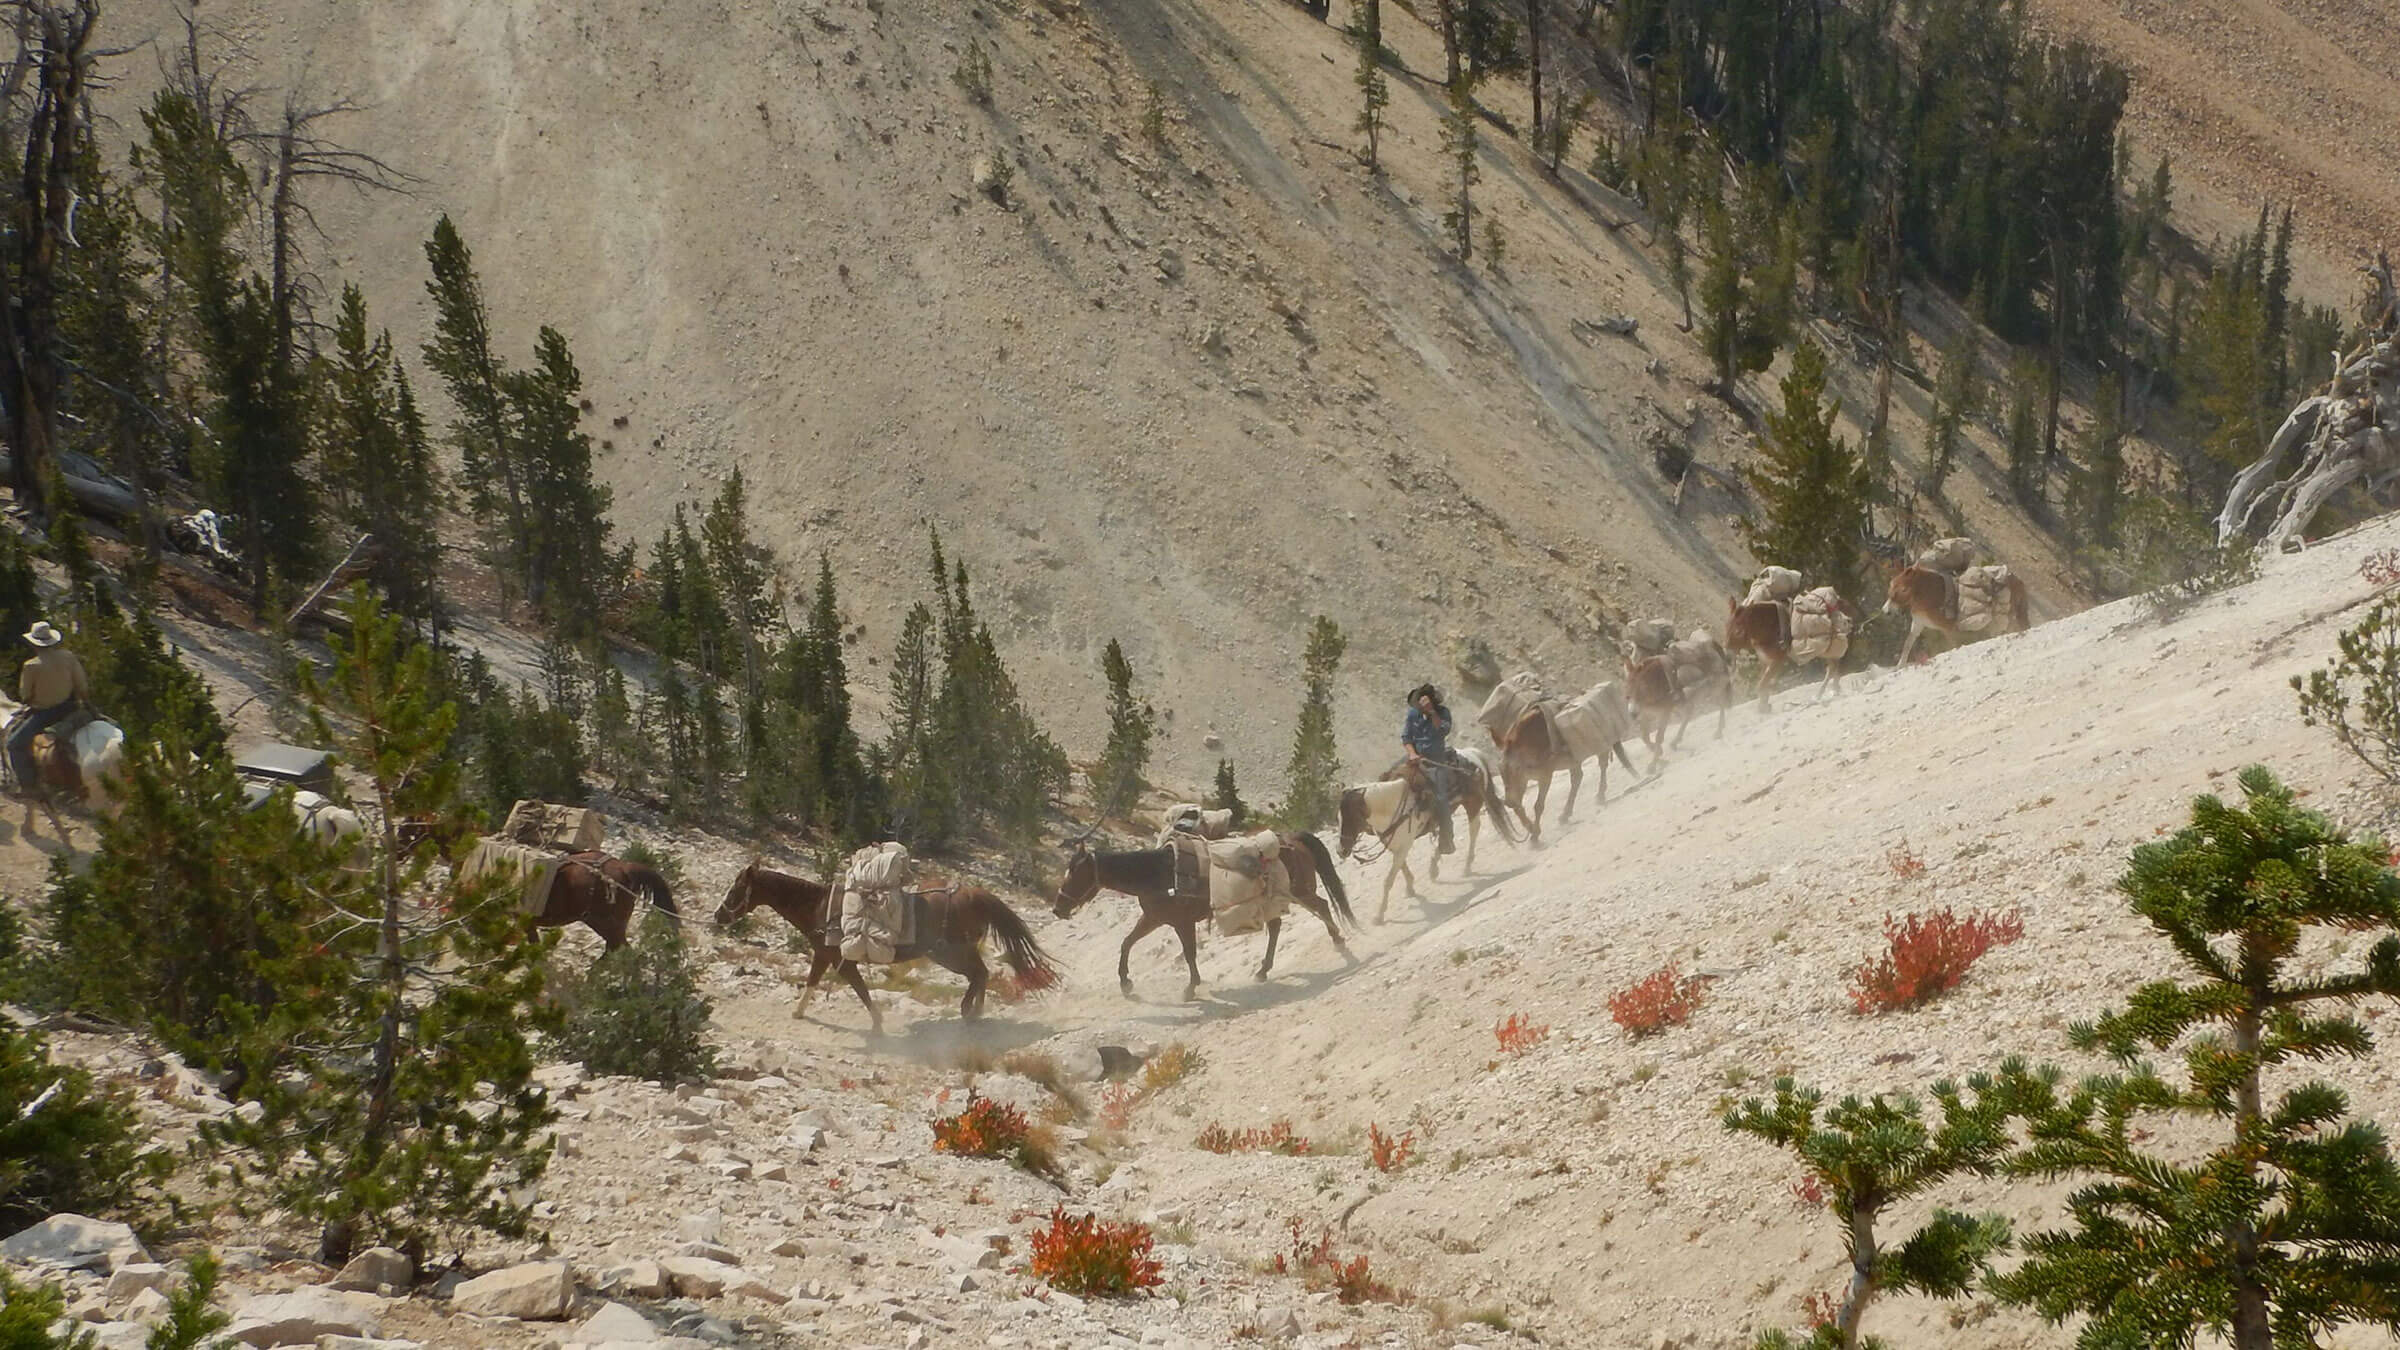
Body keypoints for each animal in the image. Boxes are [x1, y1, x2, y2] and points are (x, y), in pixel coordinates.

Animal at [705, 855, 1056, 1023]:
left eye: (735, 890)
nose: (718, 916)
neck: (820, 907)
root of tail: (974, 893)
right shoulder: (831, 958)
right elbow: (824, 983)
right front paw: (800, 1012)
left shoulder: (836, 958)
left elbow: (852, 988)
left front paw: (876, 1024)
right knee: (980, 975)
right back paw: (975, 1013)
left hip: (950, 953)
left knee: (979, 974)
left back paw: (969, 1012)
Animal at [1051, 831, 1353, 999]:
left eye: (1075, 874)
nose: (1057, 908)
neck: (1160, 874)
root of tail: (1294, 840)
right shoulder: (1153, 918)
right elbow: (1127, 943)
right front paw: (1126, 982)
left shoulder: (1181, 923)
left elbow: (1189, 954)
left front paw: (1191, 987)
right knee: (1278, 925)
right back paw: (1263, 970)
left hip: (1300, 891)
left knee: (1321, 906)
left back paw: (1339, 941)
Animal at [1334, 739, 1516, 917]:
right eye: (1338, 819)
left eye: (1351, 818)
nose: (1340, 850)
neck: (1392, 805)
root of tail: (1471, 753)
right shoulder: (1394, 846)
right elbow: (1402, 868)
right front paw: (1410, 888)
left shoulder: (1404, 846)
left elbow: (1389, 879)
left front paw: (1379, 914)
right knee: (1447, 832)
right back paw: (1435, 867)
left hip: (1473, 803)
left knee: (1474, 829)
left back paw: (1466, 866)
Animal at [1881, 562, 2035, 662]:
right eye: (1891, 584)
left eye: (1903, 589)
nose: (1886, 611)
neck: (1933, 596)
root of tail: (2018, 581)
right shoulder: (1918, 624)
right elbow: (1907, 644)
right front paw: (1899, 666)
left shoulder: (1948, 630)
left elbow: (1954, 645)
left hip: (2003, 622)